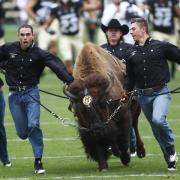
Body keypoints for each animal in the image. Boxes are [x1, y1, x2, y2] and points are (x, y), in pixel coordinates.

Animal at [64, 43, 146, 171]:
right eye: (80, 110)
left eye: (102, 103)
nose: (98, 129)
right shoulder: (88, 130)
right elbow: (99, 145)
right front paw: (103, 166)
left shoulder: (124, 116)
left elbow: (123, 139)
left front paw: (126, 158)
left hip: (136, 108)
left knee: (135, 125)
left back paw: (140, 151)